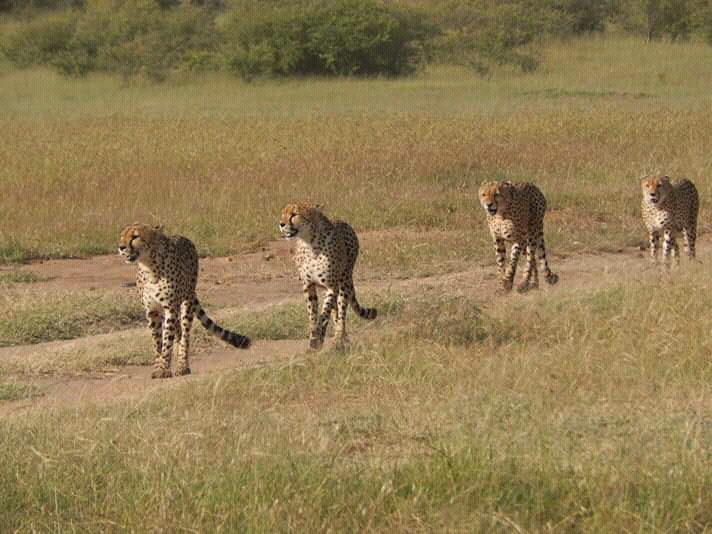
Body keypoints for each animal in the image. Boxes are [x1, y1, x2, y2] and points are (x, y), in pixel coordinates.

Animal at [118, 224, 249, 378]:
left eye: (135, 236)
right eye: (122, 236)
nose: (121, 247)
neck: (149, 266)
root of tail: (184, 238)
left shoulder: (170, 308)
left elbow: (167, 340)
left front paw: (164, 368)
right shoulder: (152, 311)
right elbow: (157, 341)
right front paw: (158, 366)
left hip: (187, 303)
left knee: (185, 335)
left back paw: (183, 365)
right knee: (179, 332)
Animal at [280, 204, 378, 352]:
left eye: (294, 214)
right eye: (283, 214)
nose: (281, 224)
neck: (309, 242)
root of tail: (343, 222)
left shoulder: (331, 287)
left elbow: (323, 314)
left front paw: (318, 335)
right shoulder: (308, 285)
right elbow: (313, 314)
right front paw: (314, 337)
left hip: (344, 281)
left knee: (341, 312)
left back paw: (339, 337)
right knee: (335, 313)